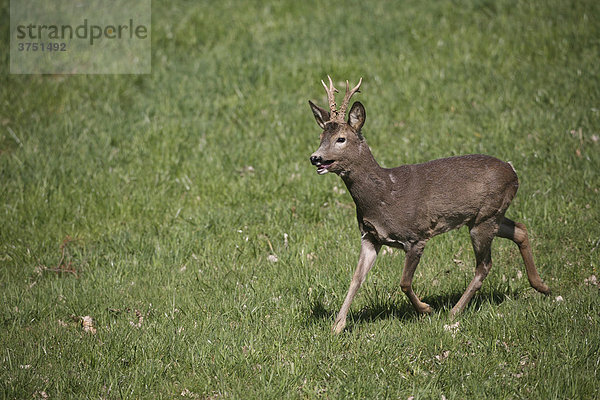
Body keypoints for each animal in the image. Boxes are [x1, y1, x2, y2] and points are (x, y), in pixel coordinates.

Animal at [310, 76, 548, 334]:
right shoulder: (370, 237)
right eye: (321, 138)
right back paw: (542, 286)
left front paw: (426, 309)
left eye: (341, 139)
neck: (383, 195)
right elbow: (356, 278)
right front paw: (338, 325)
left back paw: (455, 311)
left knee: (484, 265)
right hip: (488, 215)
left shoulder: (416, 235)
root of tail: (513, 171)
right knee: (520, 230)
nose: (315, 158)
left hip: (485, 219)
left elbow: (404, 282)